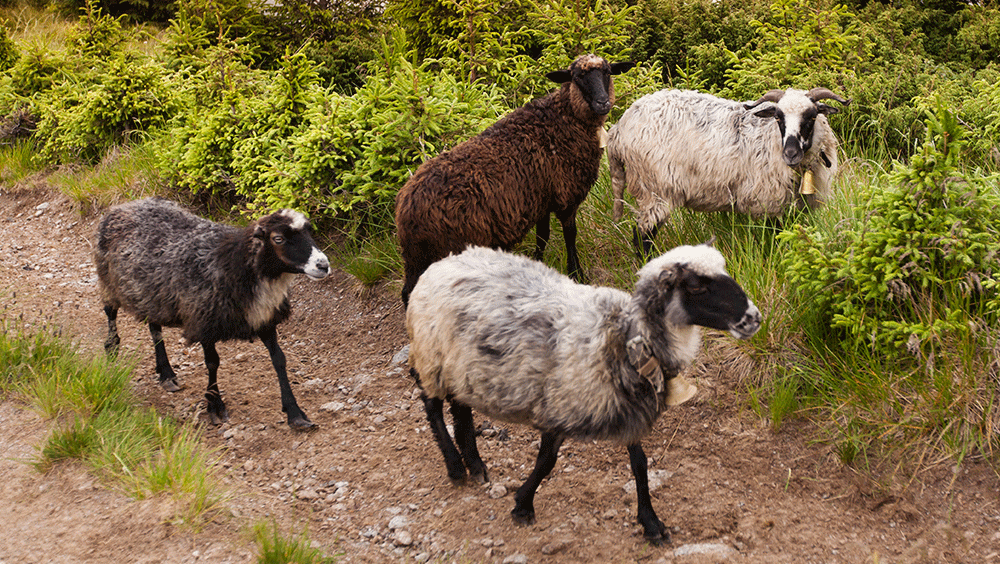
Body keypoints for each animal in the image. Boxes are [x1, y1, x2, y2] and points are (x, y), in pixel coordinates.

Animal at [94, 196, 330, 430]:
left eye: (309, 231)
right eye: (278, 238)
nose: (323, 265)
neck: (238, 267)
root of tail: (127, 204)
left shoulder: (265, 319)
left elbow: (279, 359)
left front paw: (295, 414)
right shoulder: (204, 321)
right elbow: (212, 363)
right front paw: (215, 405)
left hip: (151, 293)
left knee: (154, 327)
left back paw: (166, 373)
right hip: (108, 280)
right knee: (110, 312)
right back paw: (112, 349)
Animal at [402, 242, 760, 540]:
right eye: (697, 284)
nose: (754, 318)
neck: (627, 336)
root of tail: (444, 261)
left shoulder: (626, 408)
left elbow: (640, 464)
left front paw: (651, 523)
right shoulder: (560, 405)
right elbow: (547, 462)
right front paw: (522, 505)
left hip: (461, 369)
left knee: (460, 406)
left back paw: (475, 464)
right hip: (431, 358)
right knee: (432, 406)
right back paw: (455, 466)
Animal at [604, 88, 848, 256]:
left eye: (812, 117)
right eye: (778, 117)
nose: (790, 153)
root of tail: (618, 130)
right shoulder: (770, 202)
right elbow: (778, 237)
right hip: (654, 190)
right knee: (642, 238)